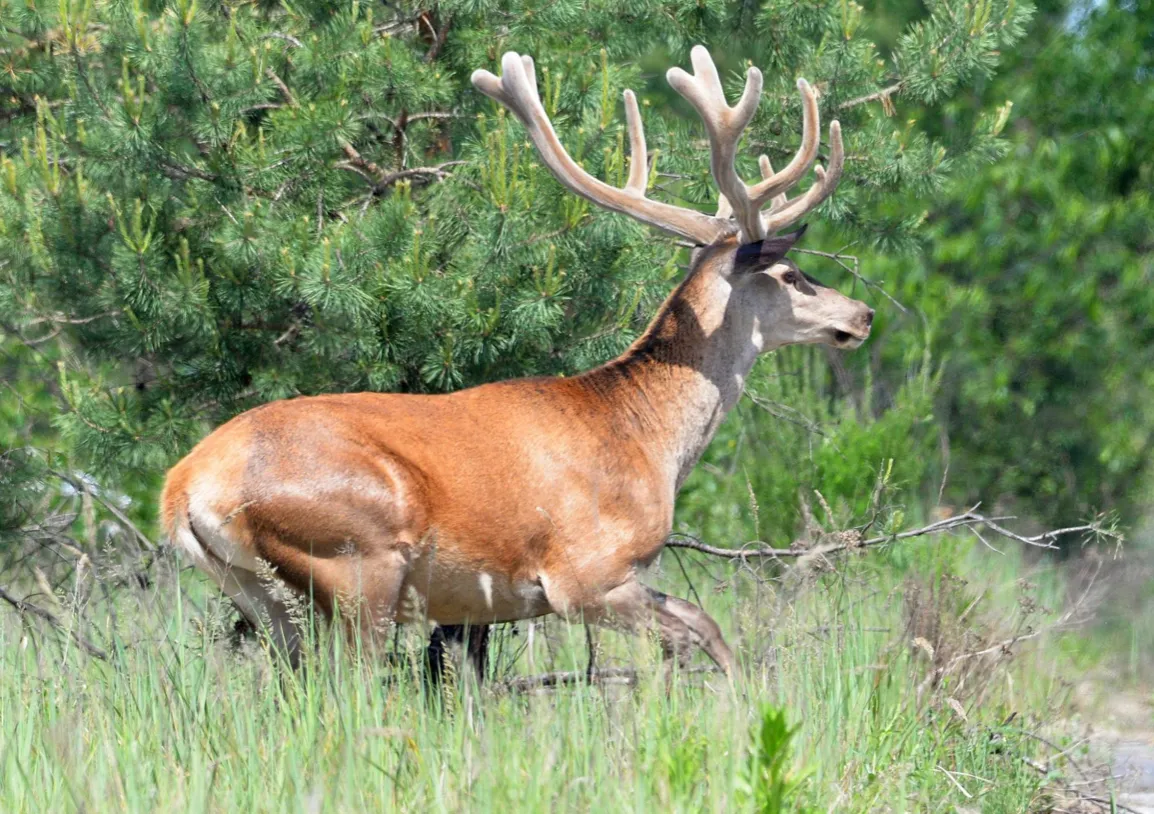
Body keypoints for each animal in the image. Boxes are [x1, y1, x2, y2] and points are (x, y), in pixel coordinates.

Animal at [160, 44, 872, 678]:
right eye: (791, 274)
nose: (862, 315)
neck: (646, 438)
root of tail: (183, 487)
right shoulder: (583, 575)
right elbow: (699, 634)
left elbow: (702, 628)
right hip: (357, 559)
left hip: (259, 593)